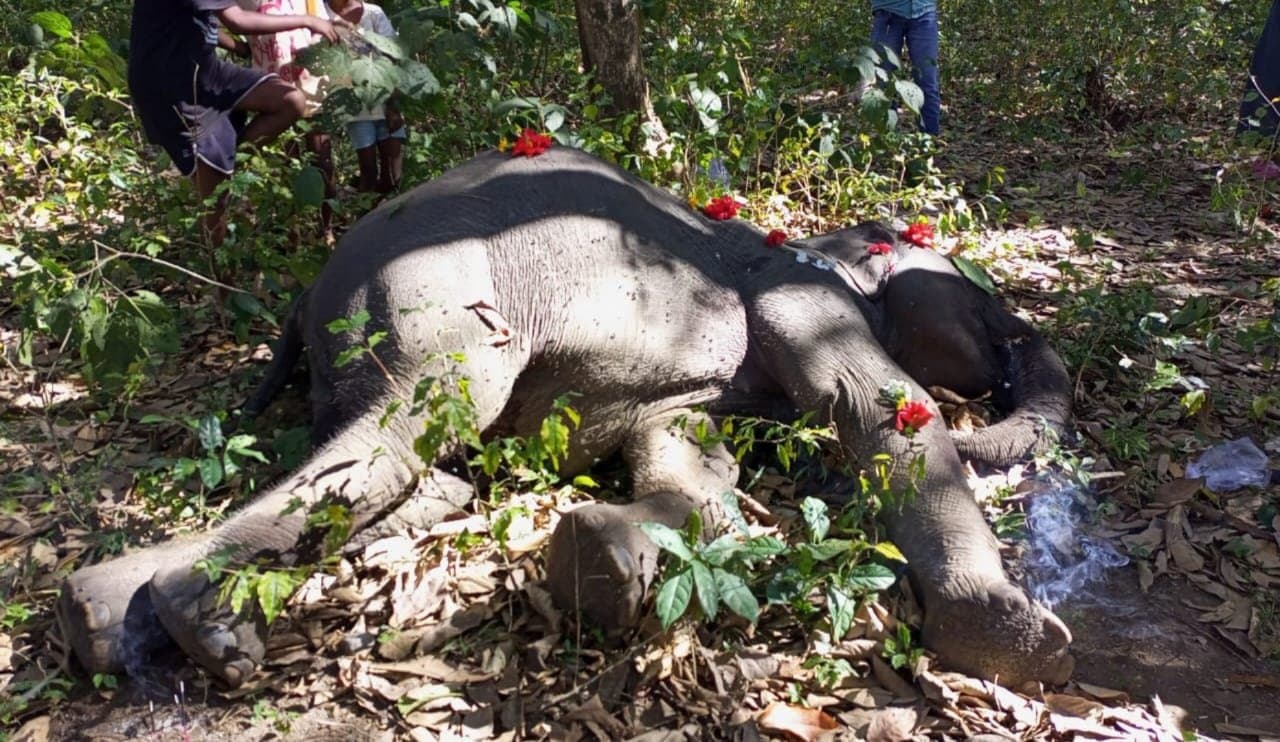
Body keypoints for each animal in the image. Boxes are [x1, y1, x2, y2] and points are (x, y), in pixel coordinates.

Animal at [57, 146, 1075, 690]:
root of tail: (310, 289)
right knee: (404, 432)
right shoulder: (802, 300)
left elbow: (689, 464)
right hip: (432, 301)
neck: (808, 242)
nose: (998, 357)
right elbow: (874, 408)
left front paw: (600, 564)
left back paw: (103, 611)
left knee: (419, 472)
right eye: (982, 305)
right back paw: (197, 620)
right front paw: (1017, 641)